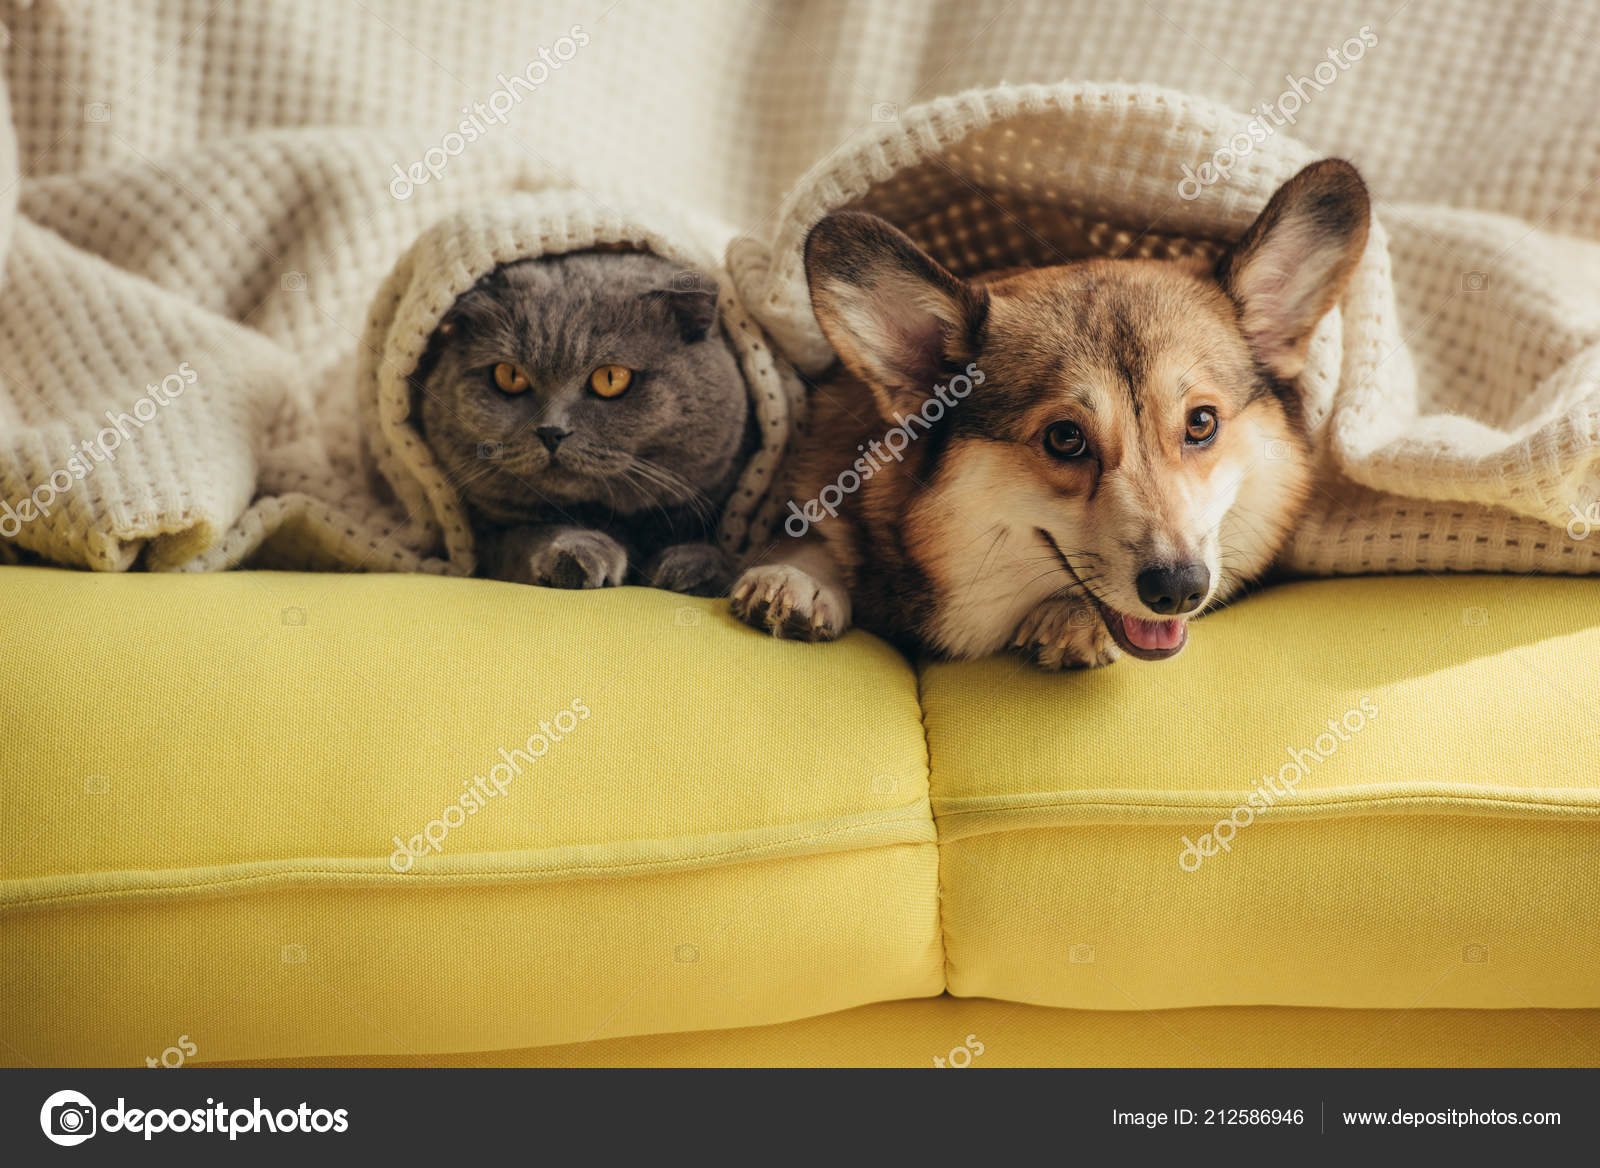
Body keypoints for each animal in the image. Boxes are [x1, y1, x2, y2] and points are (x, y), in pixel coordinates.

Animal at [419, 248, 755, 592]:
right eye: (509, 376)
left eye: (611, 378)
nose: (551, 431)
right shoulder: (486, 539)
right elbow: (524, 536)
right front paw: (579, 553)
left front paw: (693, 567)